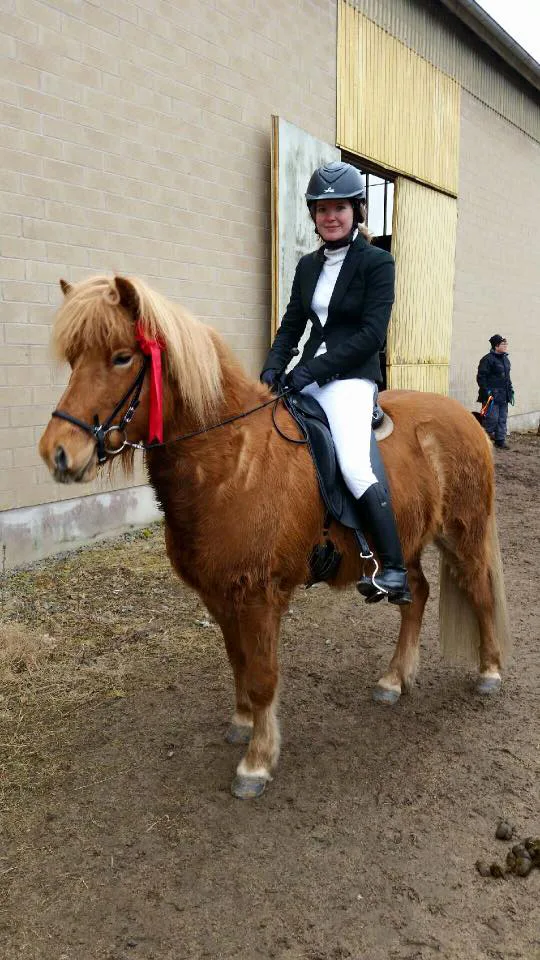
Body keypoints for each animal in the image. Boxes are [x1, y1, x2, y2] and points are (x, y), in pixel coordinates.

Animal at [40, 280, 508, 804]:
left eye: (122, 357)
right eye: (73, 359)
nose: (58, 453)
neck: (231, 462)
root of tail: (466, 419)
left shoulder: (261, 596)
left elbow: (263, 676)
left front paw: (257, 763)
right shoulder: (219, 594)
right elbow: (238, 662)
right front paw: (243, 723)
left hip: (463, 533)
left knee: (480, 592)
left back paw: (489, 673)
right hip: (405, 543)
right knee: (417, 595)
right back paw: (393, 679)